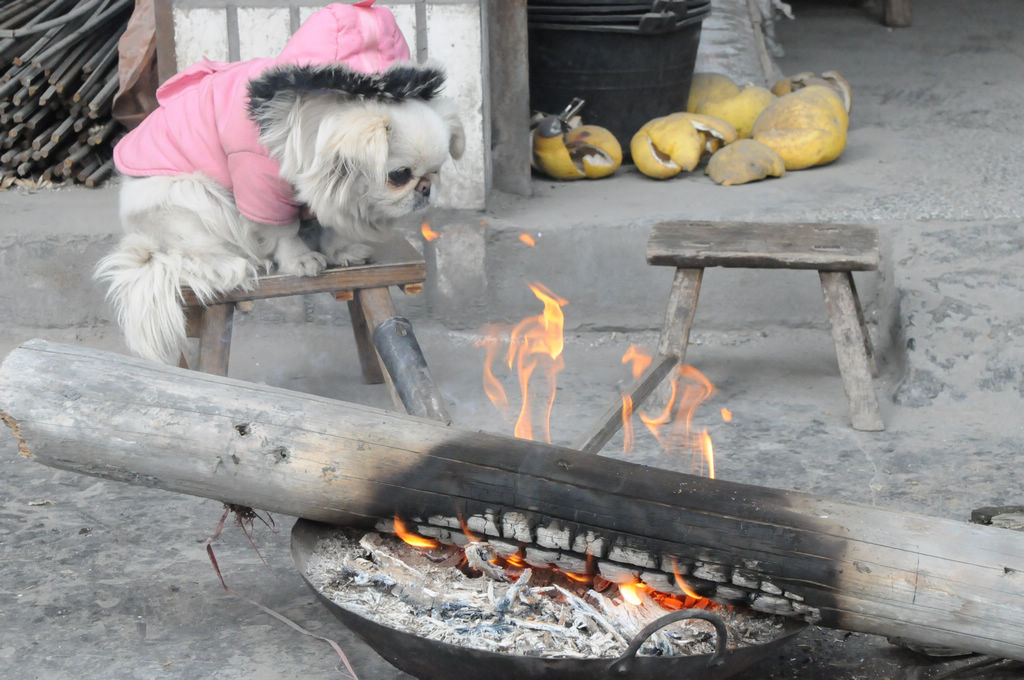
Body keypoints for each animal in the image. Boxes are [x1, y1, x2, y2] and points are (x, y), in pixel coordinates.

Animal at [96, 61, 464, 364]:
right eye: (399, 175)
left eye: (436, 171)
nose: (425, 189)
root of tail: (143, 238)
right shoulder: (257, 185)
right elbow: (281, 232)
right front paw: (300, 260)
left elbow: (329, 226)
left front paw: (341, 251)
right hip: (192, 194)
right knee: (196, 251)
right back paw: (235, 263)